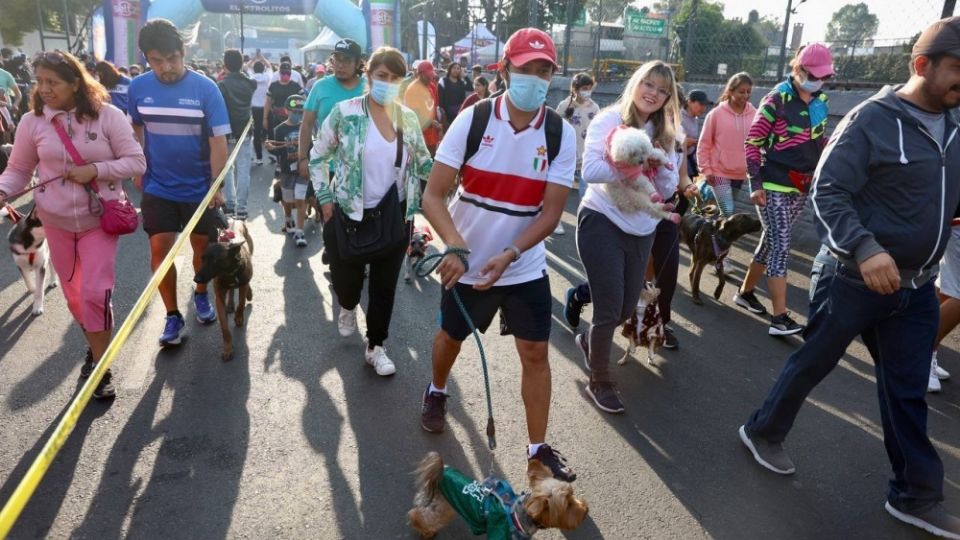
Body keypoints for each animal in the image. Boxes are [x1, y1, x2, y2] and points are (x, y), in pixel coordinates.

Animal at [193, 217, 253, 360]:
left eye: (215, 260)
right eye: (203, 258)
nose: (196, 279)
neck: (230, 272)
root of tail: (235, 219)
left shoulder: (242, 284)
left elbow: (241, 303)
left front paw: (238, 317)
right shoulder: (219, 297)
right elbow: (224, 328)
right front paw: (227, 348)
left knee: (246, 287)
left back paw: (248, 294)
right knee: (231, 290)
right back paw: (230, 304)